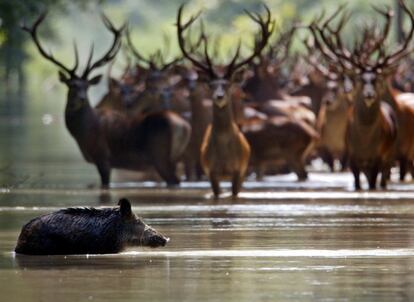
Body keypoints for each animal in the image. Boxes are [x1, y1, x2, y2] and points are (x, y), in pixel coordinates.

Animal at [23, 15, 191, 189]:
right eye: (72, 85)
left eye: (86, 86)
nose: (81, 99)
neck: (85, 132)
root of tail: (184, 126)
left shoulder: (103, 157)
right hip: (175, 157)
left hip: (160, 156)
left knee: (174, 180)